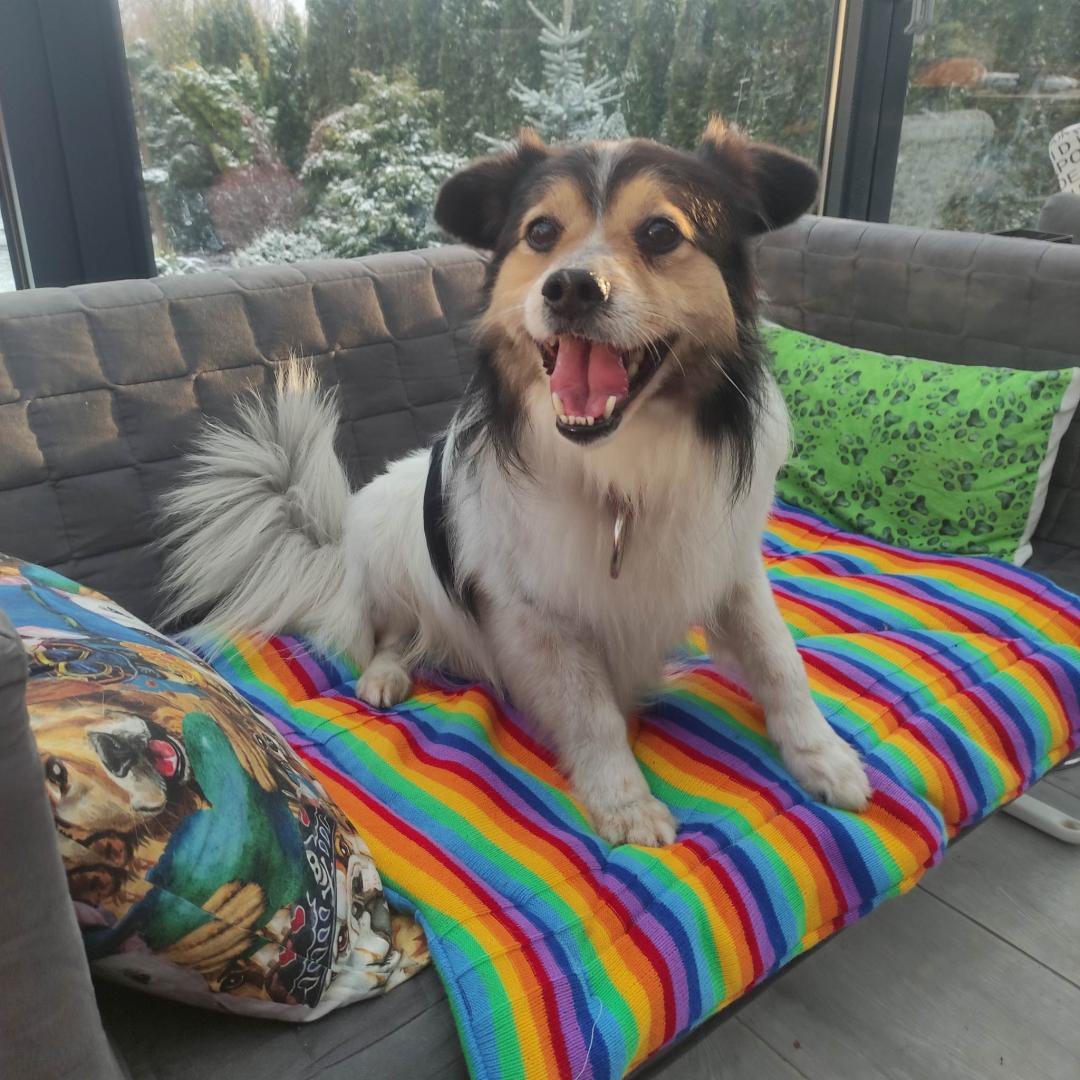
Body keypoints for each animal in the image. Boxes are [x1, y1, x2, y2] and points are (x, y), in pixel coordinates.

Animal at [161, 119, 872, 847]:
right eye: (540, 232)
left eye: (660, 233)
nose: (572, 288)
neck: (619, 465)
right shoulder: (538, 612)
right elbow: (591, 711)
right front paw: (625, 802)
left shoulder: (729, 566)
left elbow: (778, 659)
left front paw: (824, 756)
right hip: (388, 543)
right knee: (390, 633)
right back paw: (386, 674)